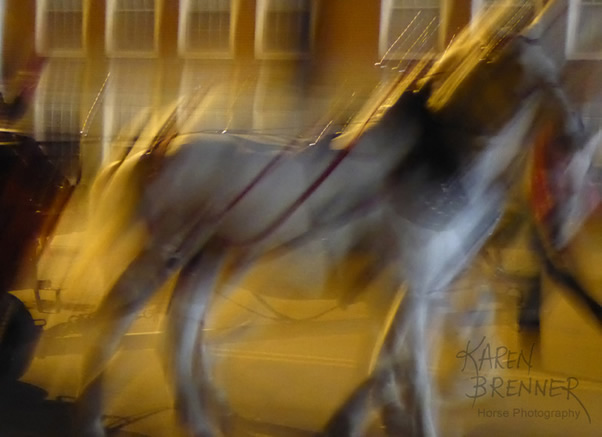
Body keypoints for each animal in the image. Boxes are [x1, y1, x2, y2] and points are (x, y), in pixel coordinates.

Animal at [71, 3, 584, 436]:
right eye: (514, 60)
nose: (575, 130)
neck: (427, 168)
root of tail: (157, 148)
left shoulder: (417, 289)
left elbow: (391, 361)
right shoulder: (412, 286)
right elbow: (405, 370)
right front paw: (398, 417)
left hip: (208, 259)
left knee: (179, 333)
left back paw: (200, 418)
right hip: (165, 252)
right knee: (117, 322)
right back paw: (95, 415)